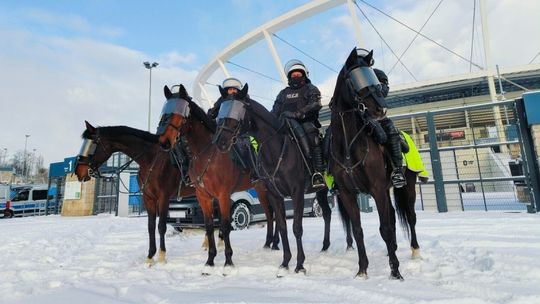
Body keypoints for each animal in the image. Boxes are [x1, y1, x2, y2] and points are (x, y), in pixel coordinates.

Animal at [75, 121, 195, 264]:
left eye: (92, 144)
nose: (78, 172)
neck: (151, 159)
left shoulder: (163, 198)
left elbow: (161, 226)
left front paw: (161, 256)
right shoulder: (148, 198)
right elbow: (150, 226)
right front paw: (150, 257)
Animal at [156, 83, 274, 276]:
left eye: (179, 113)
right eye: (164, 111)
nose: (163, 141)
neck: (206, 153)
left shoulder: (223, 195)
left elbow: (225, 226)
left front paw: (228, 261)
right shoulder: (204, 197)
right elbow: (210, 226)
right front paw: (210, 261)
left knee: (272, 214)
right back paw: (270, 243)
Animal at [212, 85, 336, 276]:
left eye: (237, 112)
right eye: (221, 109)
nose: (220, 141)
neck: (277, 150)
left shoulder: (297, 194)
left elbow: (297, 228)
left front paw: (300, 265)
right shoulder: (275, 195)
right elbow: (283, 226)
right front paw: (285, 263)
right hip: (321, 191)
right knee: (328, 214)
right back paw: (325, 246)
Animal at [326, 48, 420, 280]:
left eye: (375, 79)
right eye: (356, 78)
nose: (381, 109)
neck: (348, 143)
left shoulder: (377, 189)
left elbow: (384, 227)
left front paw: (395, 271)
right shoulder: (348, 194)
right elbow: (358, 229)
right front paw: (362, 269)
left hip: (407, 187)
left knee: (410, 217)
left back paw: (415, 251)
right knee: (394, 218)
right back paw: (392, 249)